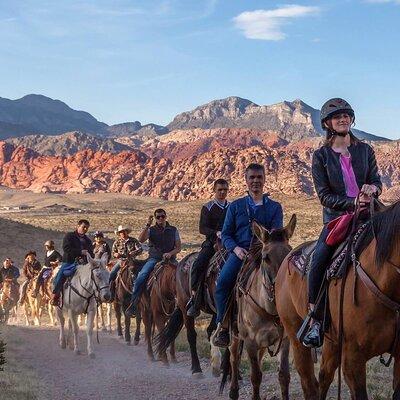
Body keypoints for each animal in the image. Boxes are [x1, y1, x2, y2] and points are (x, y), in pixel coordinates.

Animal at [222, 216, 296, 400]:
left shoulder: (284, 340)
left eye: (289, 253)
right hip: (235, 335)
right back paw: (233, 391)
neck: (269, 310)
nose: (281, 287)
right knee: (234, 357)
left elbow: (284, 376)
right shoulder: (250, 342)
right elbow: (255, 376)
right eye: (265, 257)